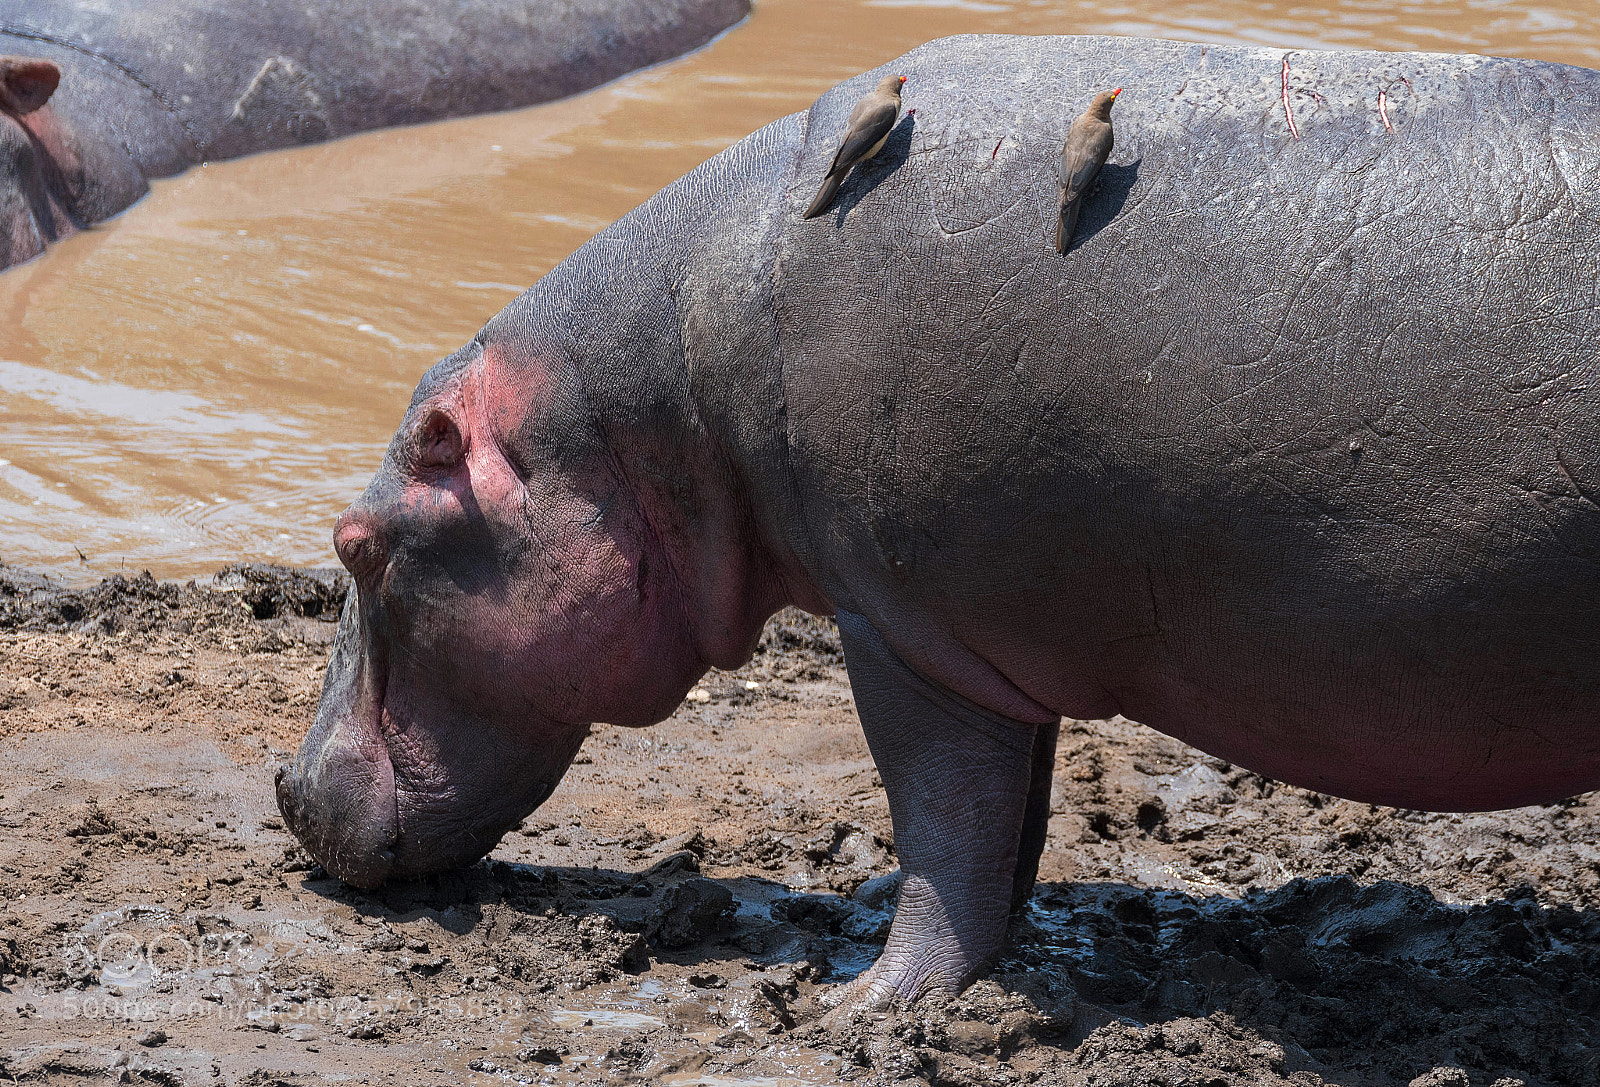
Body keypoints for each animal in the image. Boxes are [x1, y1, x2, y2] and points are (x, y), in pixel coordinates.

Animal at [277, 35, 1600, 1009]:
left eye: (355, 543)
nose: (285, 787)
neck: (646, 401)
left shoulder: (904, 627)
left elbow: (941, 818)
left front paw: (873, 1003)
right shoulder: (997, 635)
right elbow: (1011, 827)